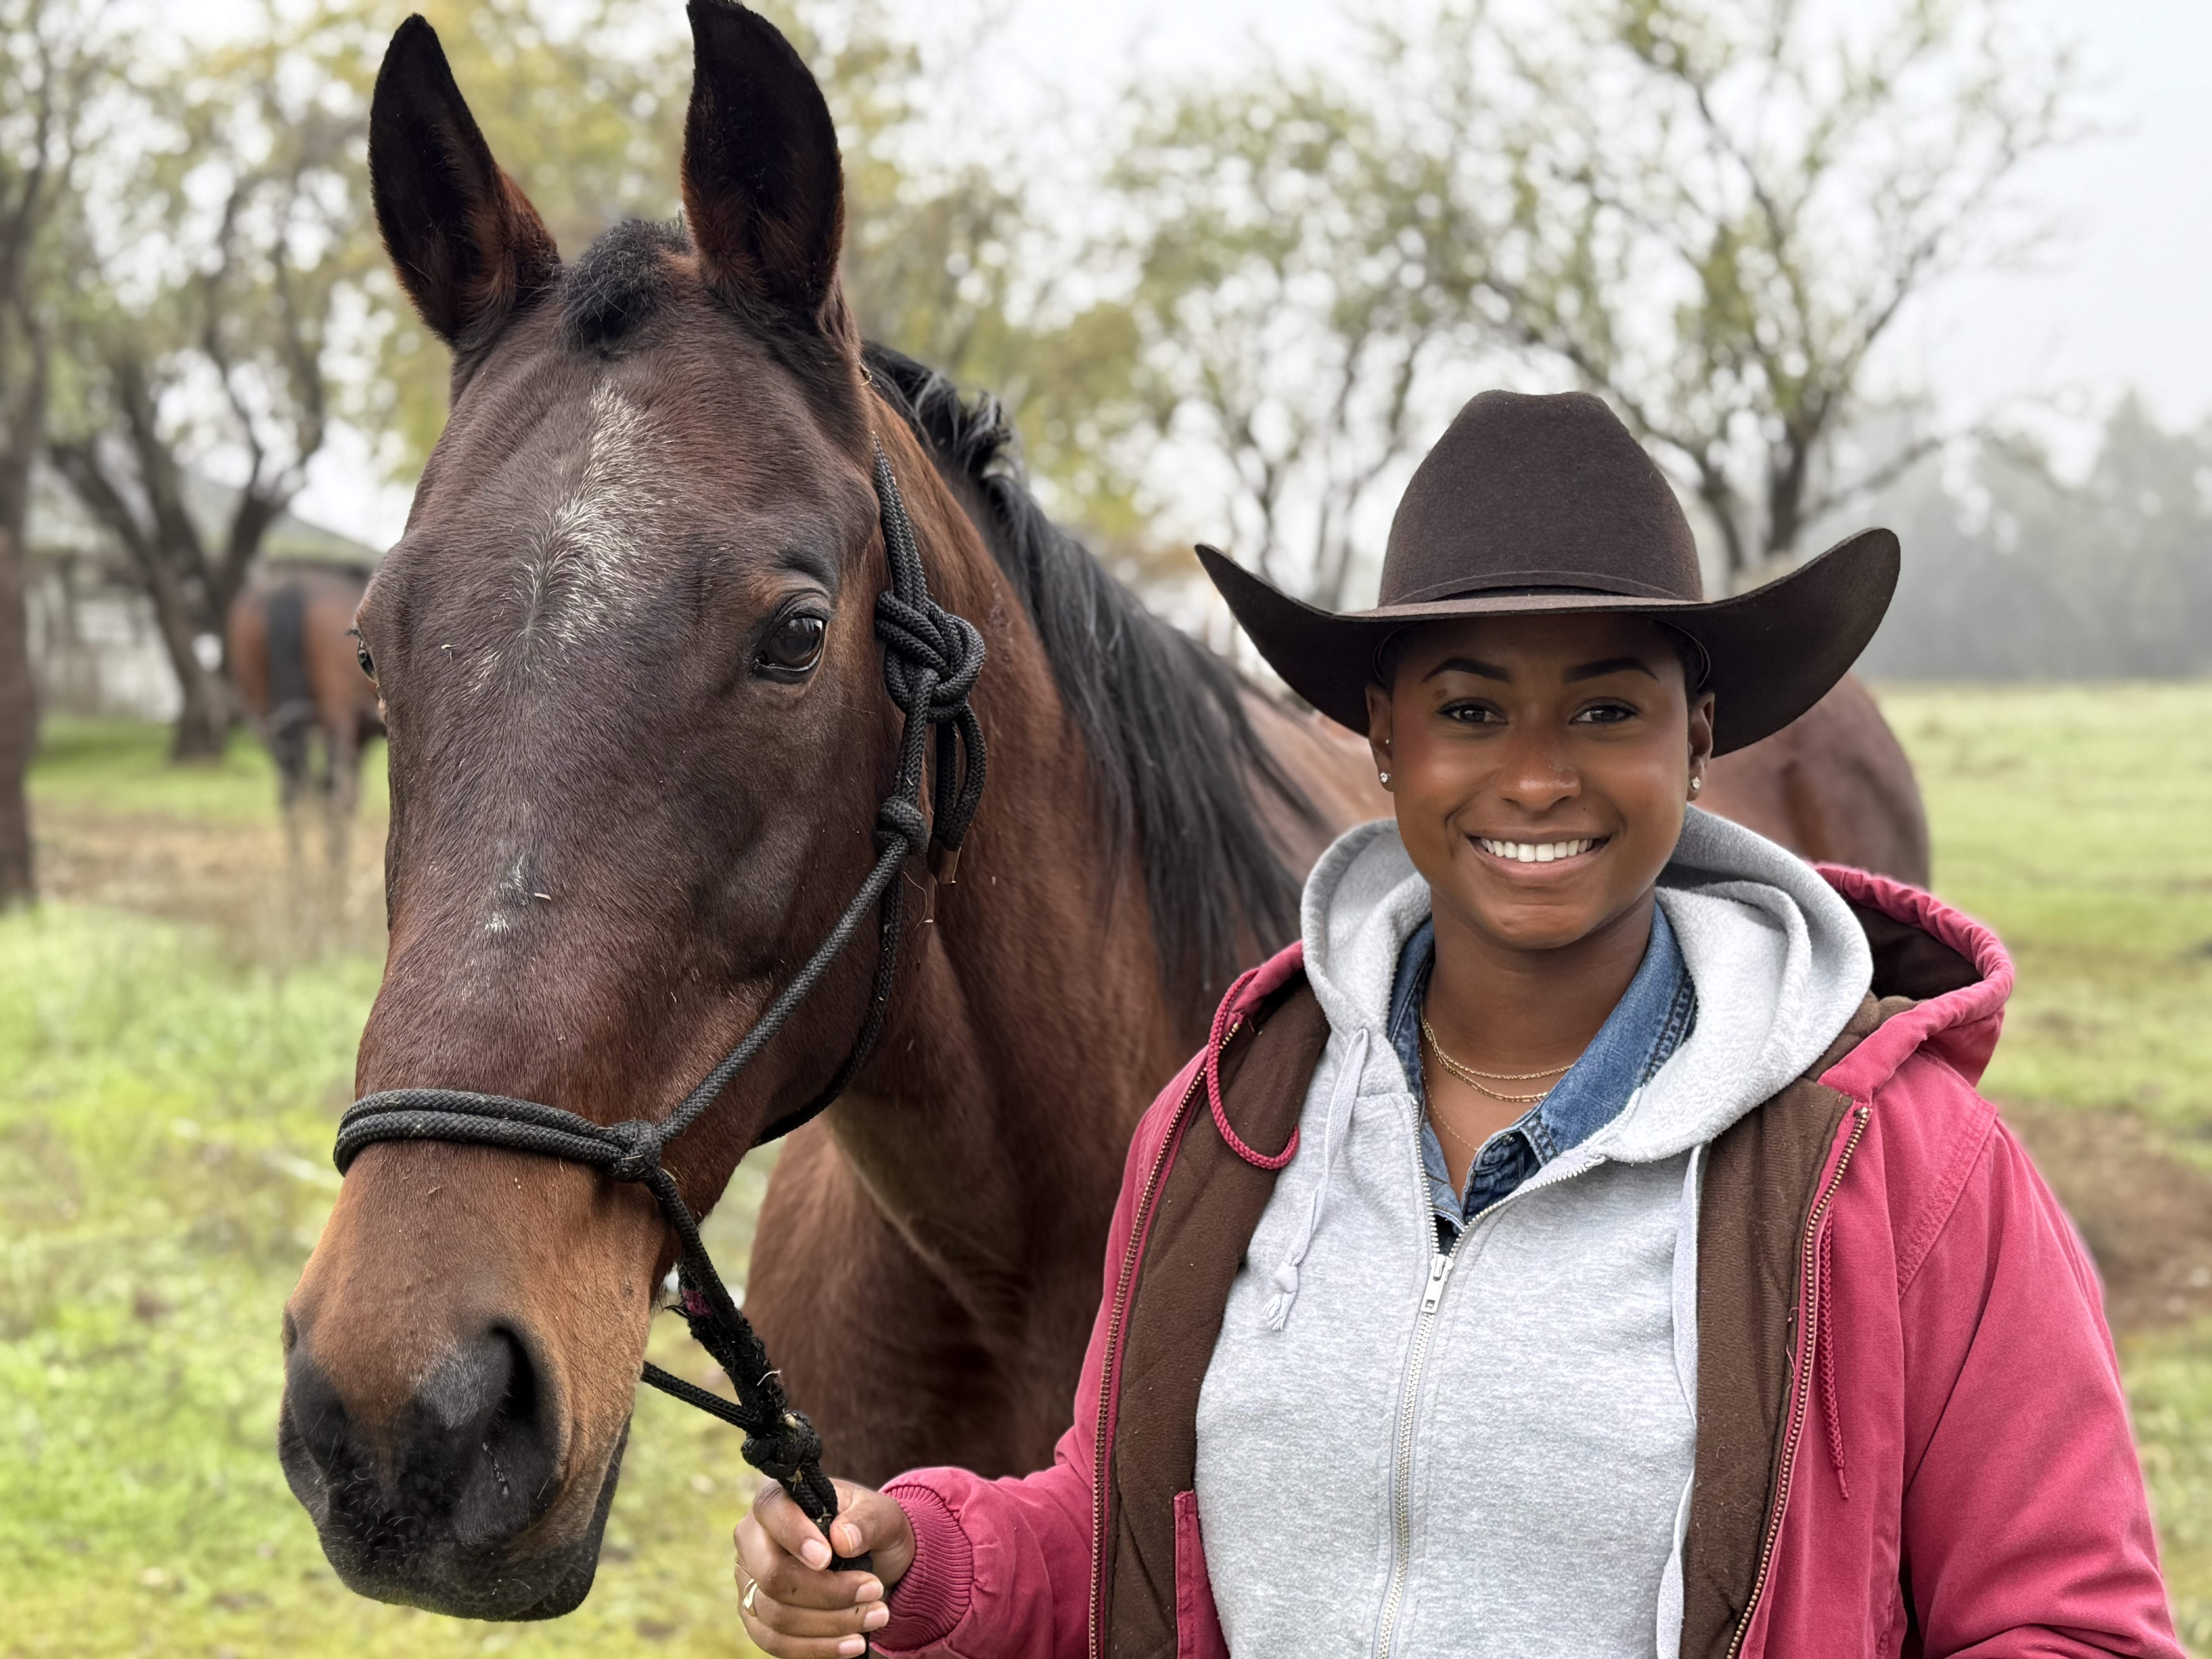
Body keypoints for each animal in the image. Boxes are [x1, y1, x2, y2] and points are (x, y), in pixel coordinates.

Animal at [226, 564, 384, 864]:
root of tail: (290, 592)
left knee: (291, 790)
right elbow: (348, 796)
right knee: (332, 791)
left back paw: (300, 870)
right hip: (335, 719)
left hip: (268, 720)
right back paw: (333, 865)